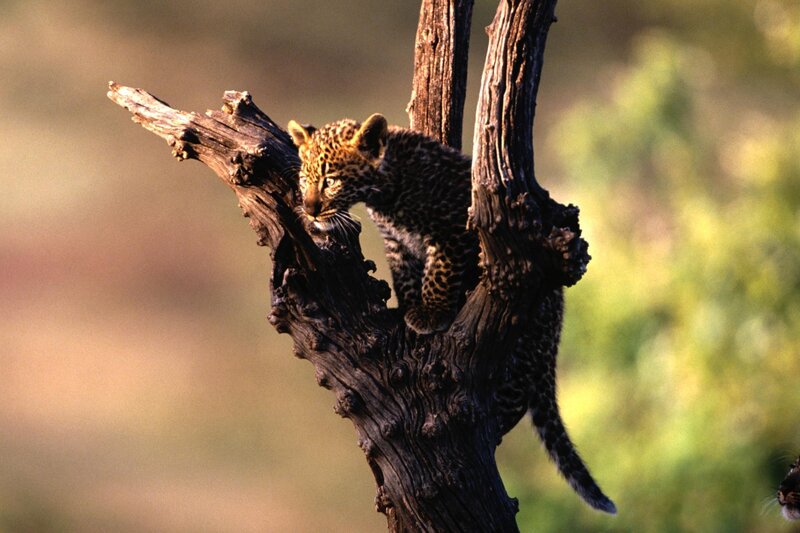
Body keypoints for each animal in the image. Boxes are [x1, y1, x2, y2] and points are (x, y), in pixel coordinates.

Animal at [287, 113, 616, 514]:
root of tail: (558, 314)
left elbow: (438, 275)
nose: (311, 209)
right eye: (304, 179)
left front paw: (431, 314)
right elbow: (407, 278)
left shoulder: (451, 232)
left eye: (331, 180)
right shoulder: (397, 244)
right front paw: (407, 312)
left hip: (524, 346)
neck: (386, 191)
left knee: (515, 398)